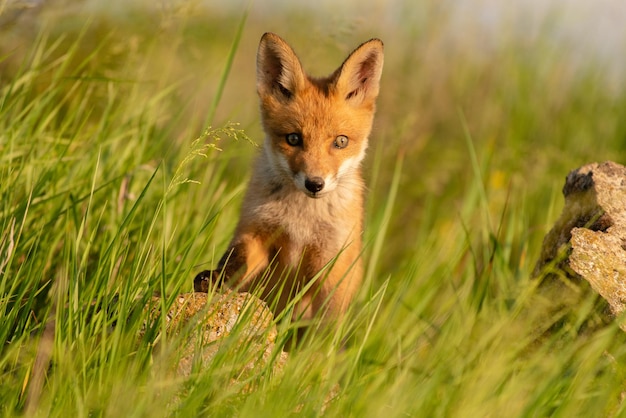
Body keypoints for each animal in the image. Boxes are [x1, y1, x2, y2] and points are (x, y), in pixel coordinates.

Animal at [193, 32, 382, 324]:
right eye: (293, 139)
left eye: (341, 142)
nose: (314, 184)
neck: (301, 223)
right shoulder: (255, 234)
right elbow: (235, 260)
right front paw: (215, 279)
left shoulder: (331, 265)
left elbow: (324, 326)